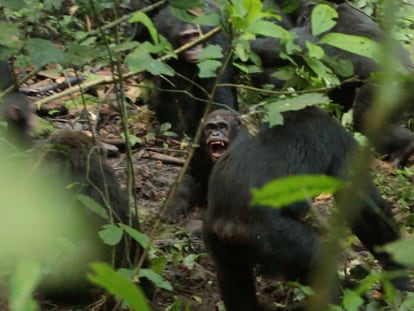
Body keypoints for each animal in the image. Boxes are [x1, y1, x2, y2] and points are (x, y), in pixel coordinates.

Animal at [150, 1, 239, 136]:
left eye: (196, 35)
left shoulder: (216, 41)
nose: (193, 47)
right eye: (186, 37)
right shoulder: (165, 43)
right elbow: (178, 87)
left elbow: (216, 87)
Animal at [204, 106, 408, 310]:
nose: (215, 133)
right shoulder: (338, 138)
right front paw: (397, 275)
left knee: (231, 274)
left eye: (221, 126)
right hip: (274, 236)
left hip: (219, 242)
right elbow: (365, 207)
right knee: (317, 259)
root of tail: (228, 225)